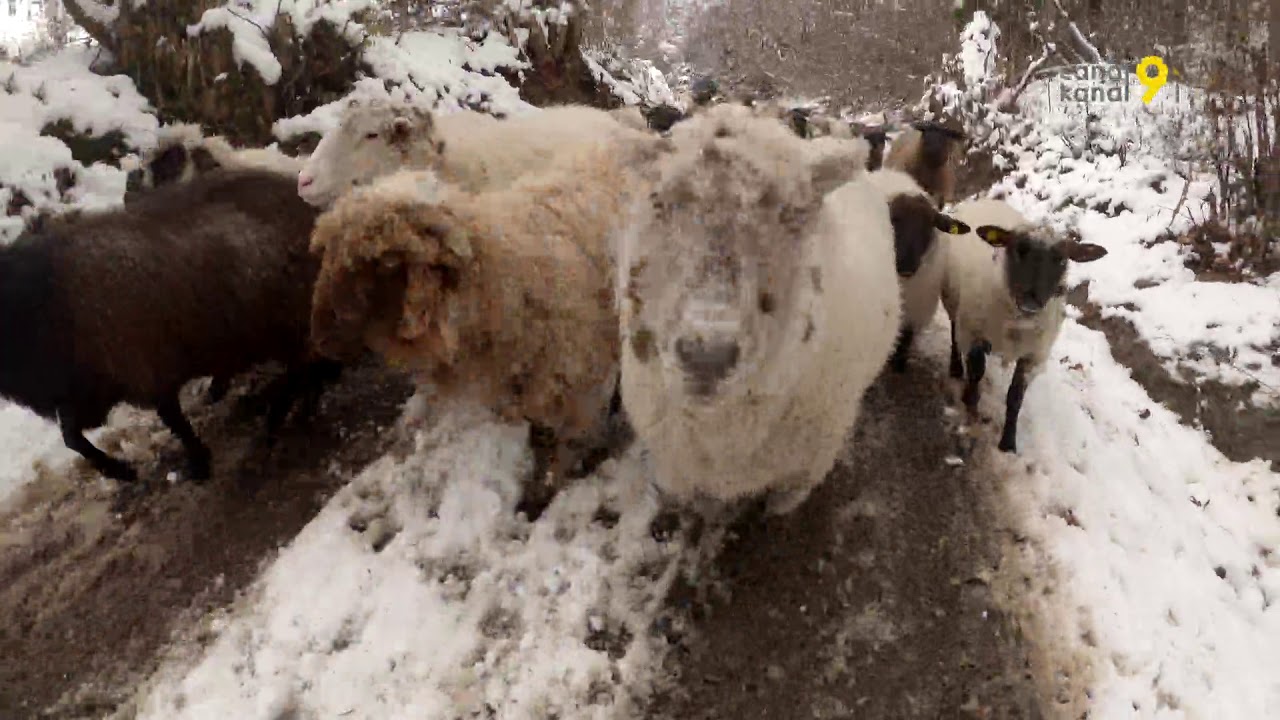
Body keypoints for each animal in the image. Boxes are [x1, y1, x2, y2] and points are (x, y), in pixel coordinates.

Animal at [0, 168, 341, 485]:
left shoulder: (143, 370)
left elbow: (171, 419)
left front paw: (199, 462)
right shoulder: (90, 390)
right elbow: (71, 436)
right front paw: (121, 471)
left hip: (286, 322)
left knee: (299, 371)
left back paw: (276, 422)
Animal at [616, 102, 901, 517]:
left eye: (793, 212)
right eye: (658, 200)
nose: (706, 357)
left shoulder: (803, 471)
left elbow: (781, 504)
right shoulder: (677, 469)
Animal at [865, 167, 972, 373]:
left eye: (929, 226)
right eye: (894, 219)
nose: (906, 267)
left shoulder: (916, 311)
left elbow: (904, 345)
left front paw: (898, 366)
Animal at [940, 198, 1108, 452]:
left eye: (1061, 260)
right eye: (1019, 249)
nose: (1031, 300)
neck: (1018, 320)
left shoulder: (1033, 356)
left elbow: (1015, 397)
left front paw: (1008, 443)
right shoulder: (974, 336)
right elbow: (975, 379)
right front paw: (970, 412)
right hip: (952, 300)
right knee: (953, 332)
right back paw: (955, 368)